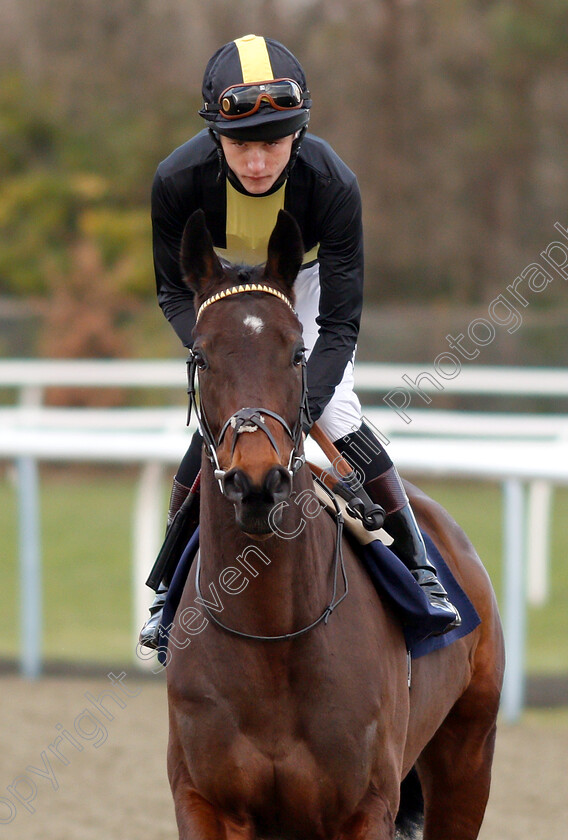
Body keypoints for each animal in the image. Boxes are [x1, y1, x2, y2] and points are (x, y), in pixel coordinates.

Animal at [165, 205, 506, 840]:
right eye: (200, 354)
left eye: (297, 352)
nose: (258, 483)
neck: (272, 634)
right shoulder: (203, 801)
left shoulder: (365, 808)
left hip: (468, 756)